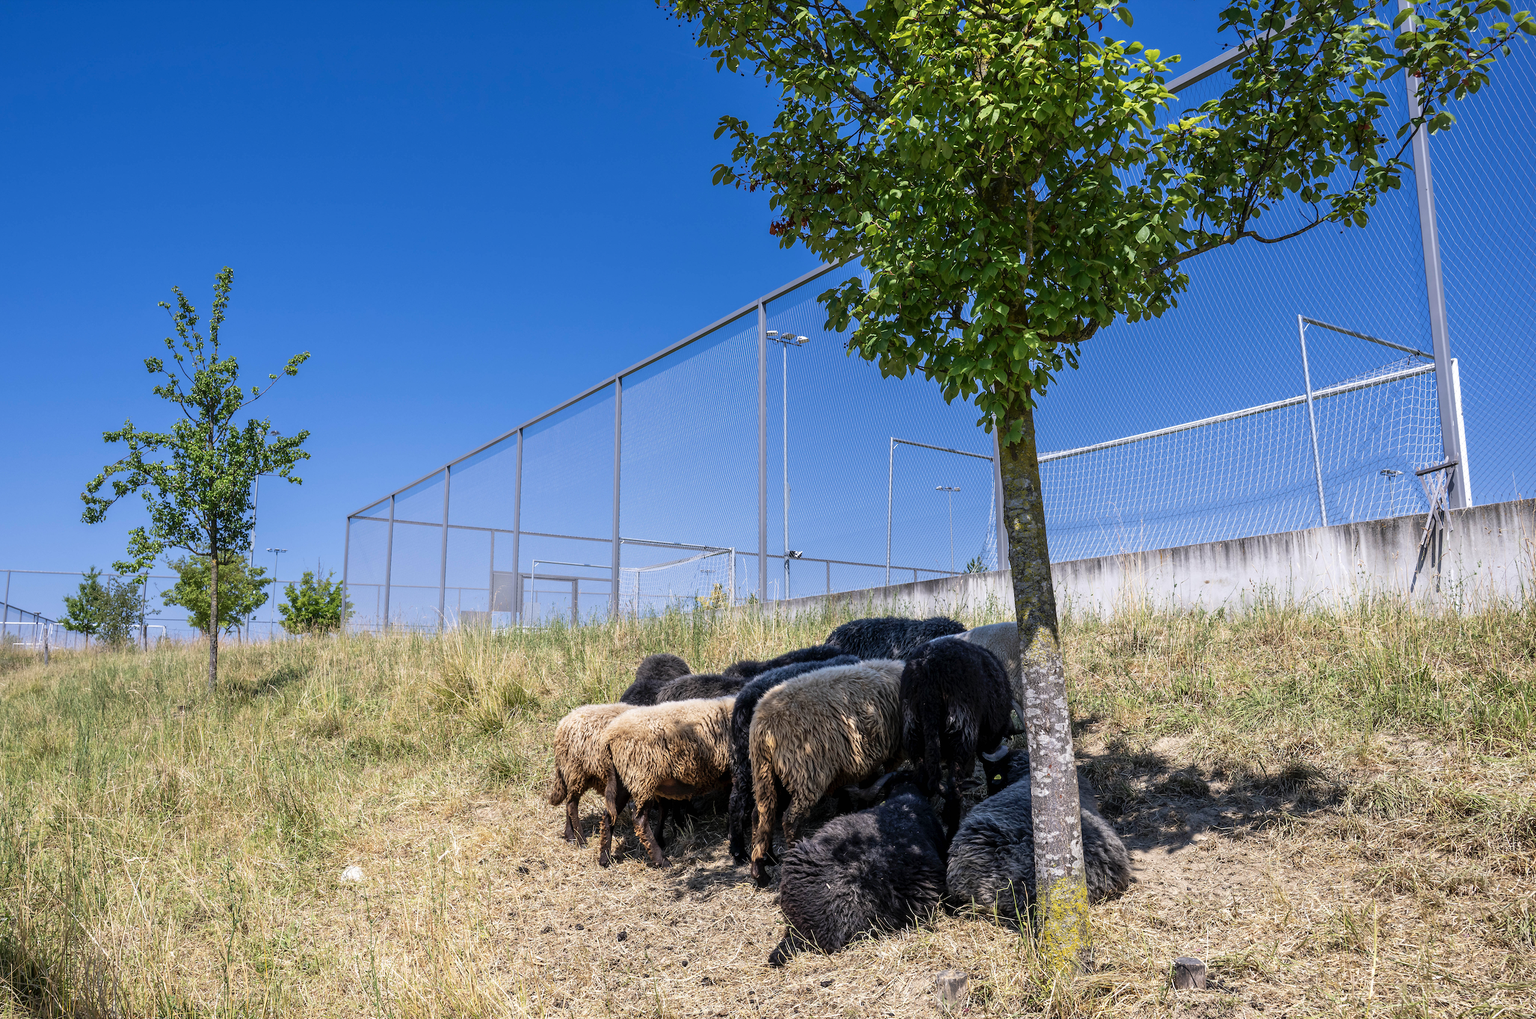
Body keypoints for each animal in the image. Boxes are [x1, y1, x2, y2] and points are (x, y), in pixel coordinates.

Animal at [548, 703, 633, 847]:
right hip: (576, 771)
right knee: (572, 805)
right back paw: (581, 840)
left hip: (575, 774)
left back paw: (570, 836)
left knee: (569, 801)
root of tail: (562, 724)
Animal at [599, 696, 734, 868]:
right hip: (642, 778)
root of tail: (610, 736)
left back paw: (605, 858)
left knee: (609, 814)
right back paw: (661, 859)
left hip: (622, 780)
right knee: (639, 820)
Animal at [748, 659, 905, 885]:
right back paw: (794, 854)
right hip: (806, 773)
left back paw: (761, 869)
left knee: (760, 815)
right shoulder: (894, 751)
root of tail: (762, 724)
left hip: (765, 773)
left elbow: (868, 785)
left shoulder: (871, 756)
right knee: (790, 820)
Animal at [899, 637, 1019, 835]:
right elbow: (989, 767)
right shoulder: (987, 741)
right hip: (961, 729)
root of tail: (928, 669)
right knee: (953, 788)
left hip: (913, 731)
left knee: (923, 780)